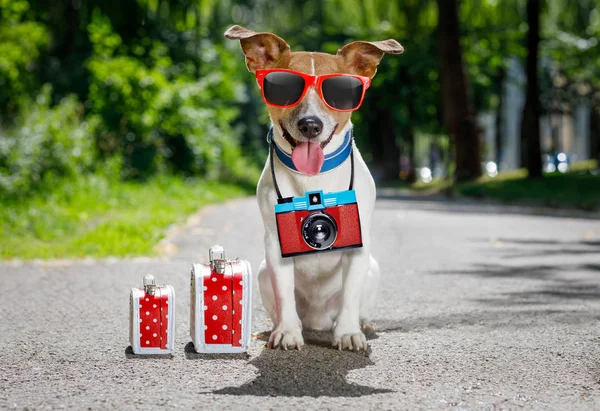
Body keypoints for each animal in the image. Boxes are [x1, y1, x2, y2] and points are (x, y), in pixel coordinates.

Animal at [225, 25, 404, 352]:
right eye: (283, 87)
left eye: (340, 92)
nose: (310, 125)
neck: (313, 179)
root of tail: (318, 321)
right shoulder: (276, 244)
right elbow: (284, 293)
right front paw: (286, 333)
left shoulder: (358, 244)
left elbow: (350, 295)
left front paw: (348, 333)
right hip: (263, 270)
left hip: (372, 268)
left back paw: (362, 323)